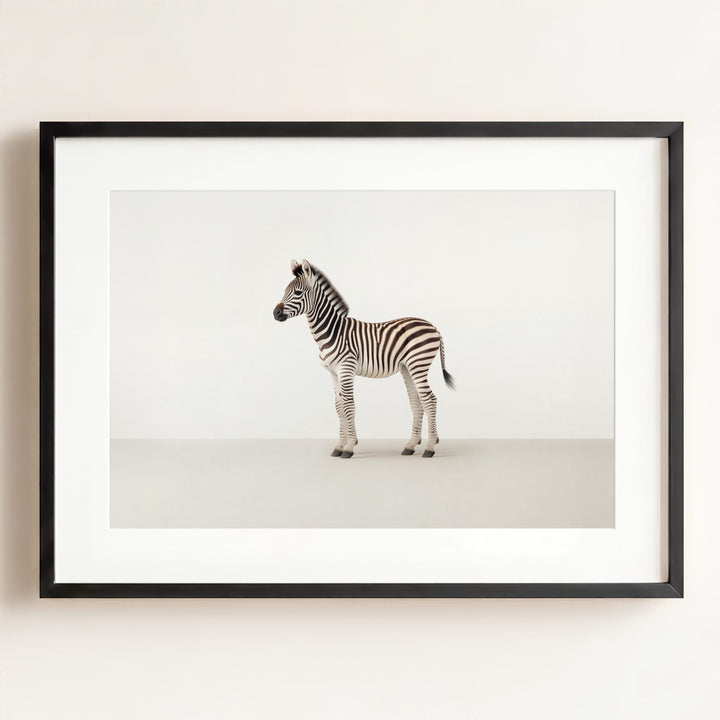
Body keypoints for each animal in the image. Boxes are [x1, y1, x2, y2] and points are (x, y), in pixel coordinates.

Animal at [273, 259, 455, 459]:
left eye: (297, 292)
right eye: (284, 291)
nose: (275, 313)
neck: (331, 332)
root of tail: (433, 326)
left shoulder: (346, 368)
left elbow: (349, 405)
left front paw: (349, 447)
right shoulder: (333, 373)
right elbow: (339, 407)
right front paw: (339, 446)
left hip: (418, 364)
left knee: (430, 400)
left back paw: (430, 447)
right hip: (408, 367)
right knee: (416, 401)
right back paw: (411, 445)